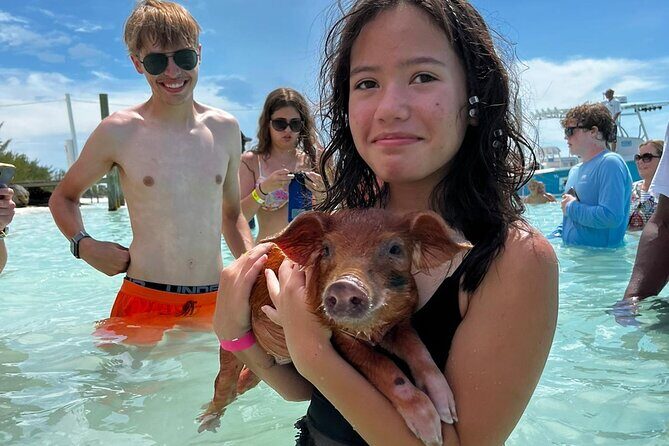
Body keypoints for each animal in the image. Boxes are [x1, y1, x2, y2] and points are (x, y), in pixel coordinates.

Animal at [199, 209, 472, 445]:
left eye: (395, 248)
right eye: (326, 250)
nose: (345, 285)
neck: (371, 326)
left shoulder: (399, 324)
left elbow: (419, 351)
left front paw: (448, 413)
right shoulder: (338, 335)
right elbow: (384, 367)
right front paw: (432, 433)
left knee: (244, 382)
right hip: (228, 357)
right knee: (223, 384)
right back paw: (205, 423)